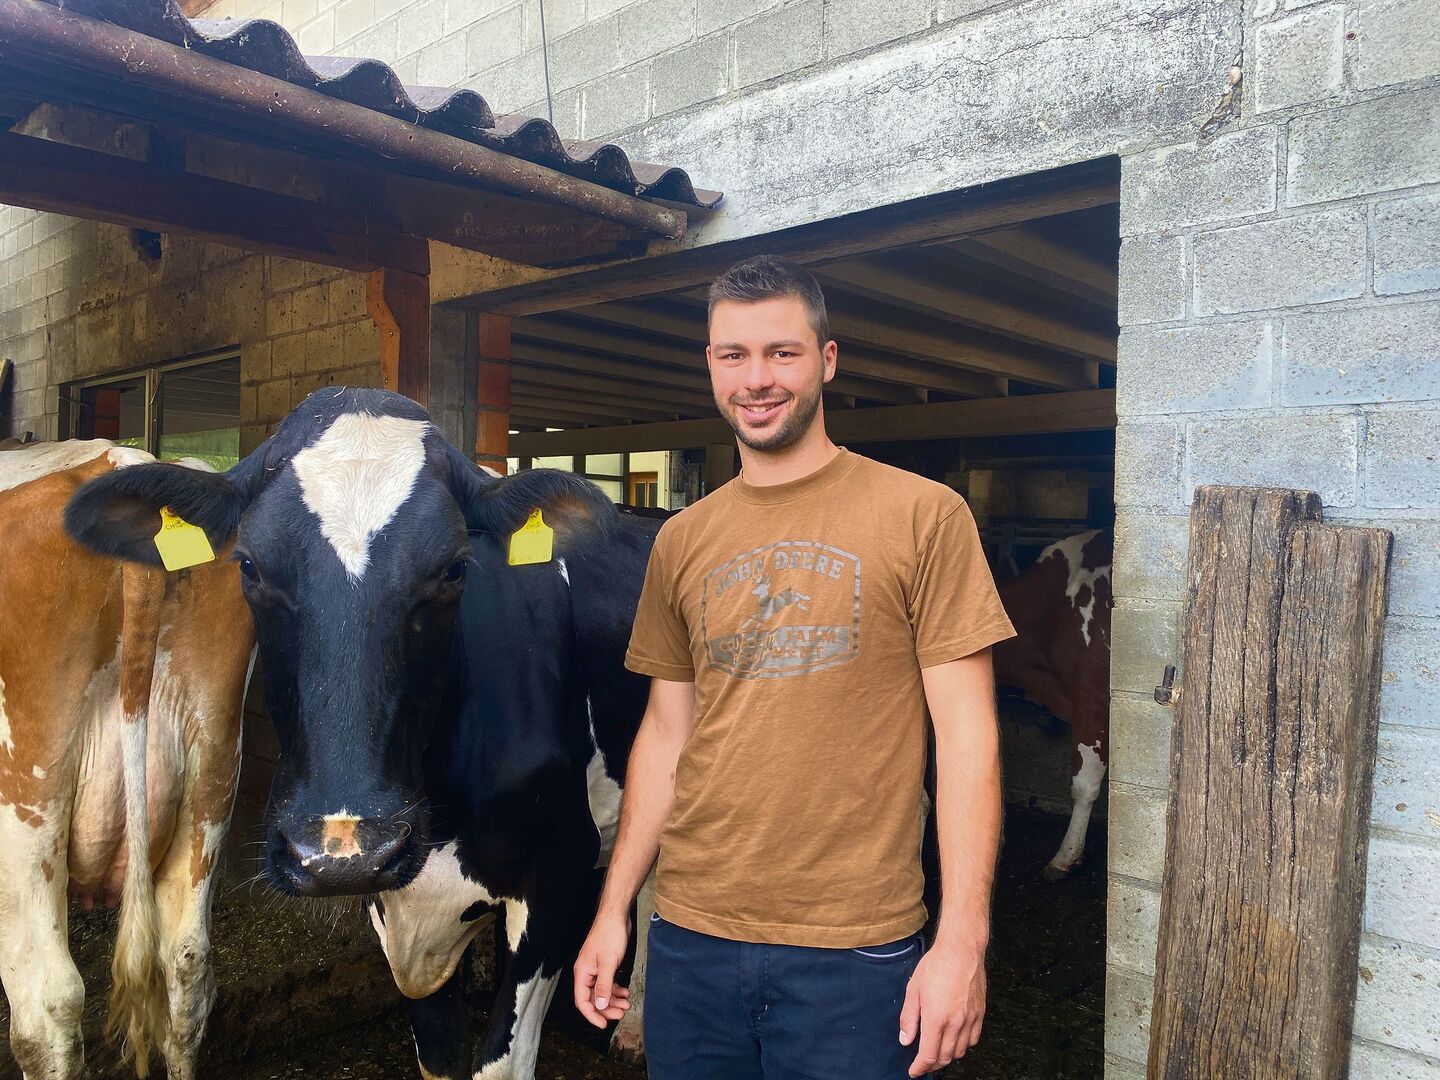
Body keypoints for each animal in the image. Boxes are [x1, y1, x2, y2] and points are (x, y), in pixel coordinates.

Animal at [64, 388, 656, 1080]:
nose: (344, 851)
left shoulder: (562, 869)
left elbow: (501, 1062)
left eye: (455, 568)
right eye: (249, 565)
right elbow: (437, 1054)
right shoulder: (396, 902)